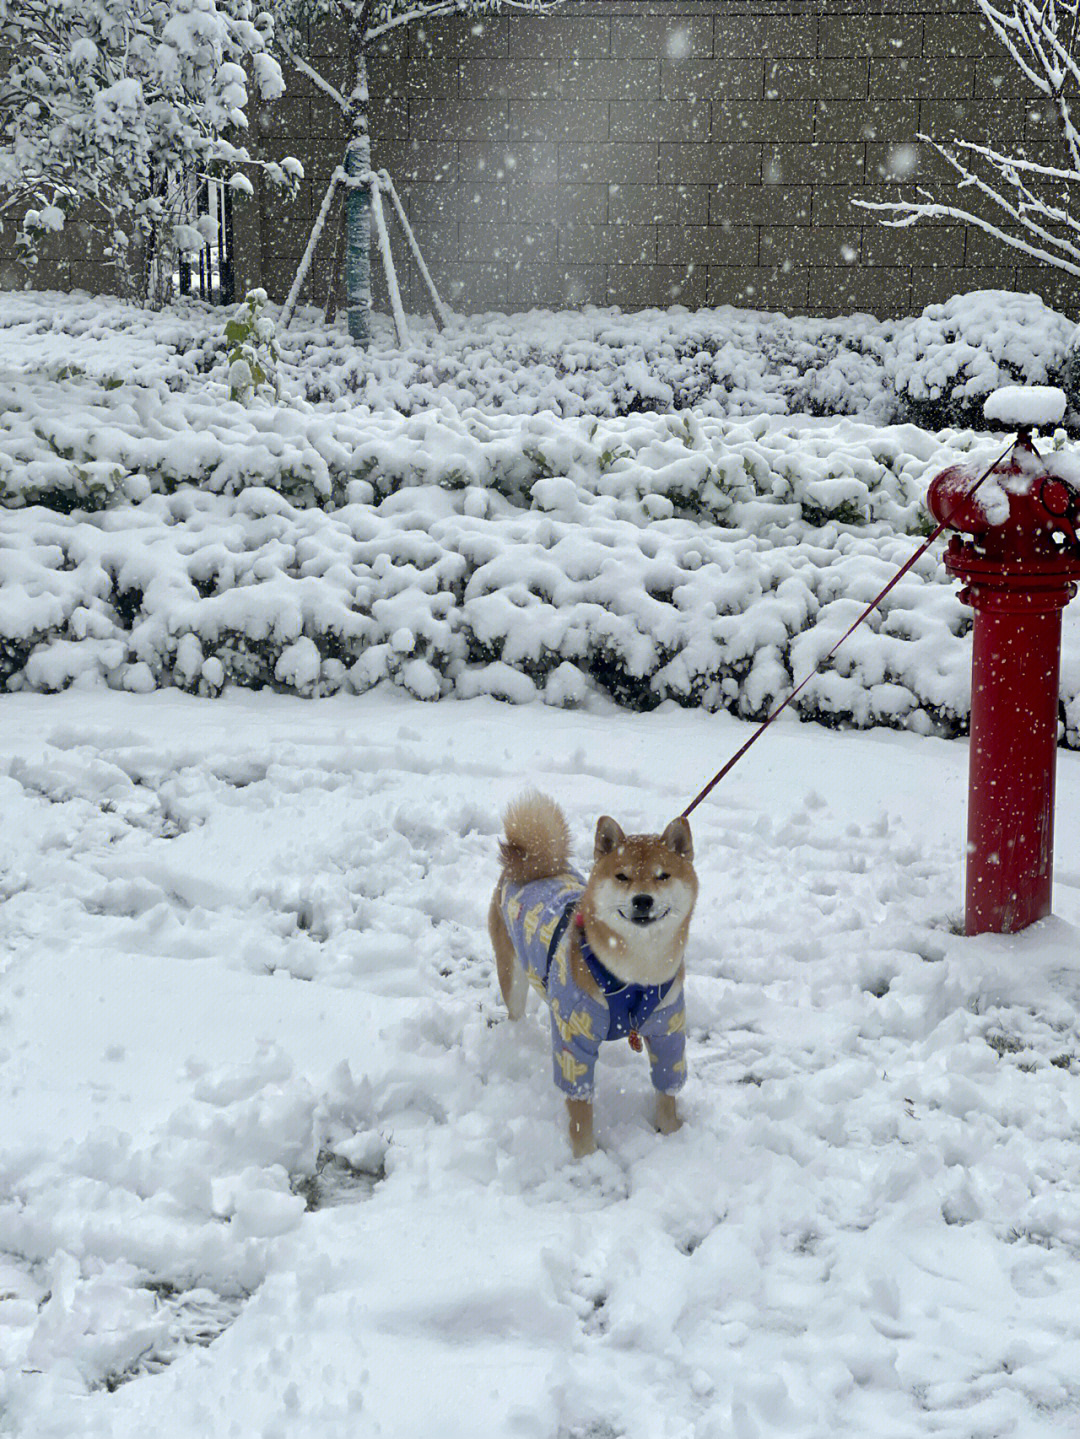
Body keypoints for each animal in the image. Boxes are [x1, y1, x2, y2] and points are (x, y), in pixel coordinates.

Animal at [491, 794, 701, 1151]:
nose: (642, 900)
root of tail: (532, 864)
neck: (637, 974)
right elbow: (579, 1109)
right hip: (512, 973)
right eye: (622, 876)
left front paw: (673, 1135)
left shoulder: (668, 1029)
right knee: (515, 1010)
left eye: (663, 876)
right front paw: (585, 1156)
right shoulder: (573, 1041)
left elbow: (667, 1088)